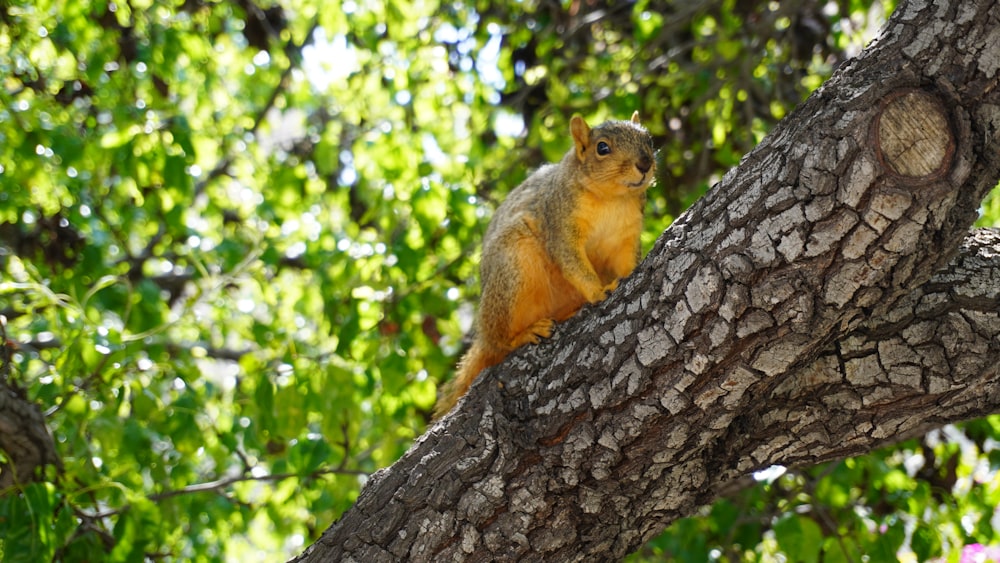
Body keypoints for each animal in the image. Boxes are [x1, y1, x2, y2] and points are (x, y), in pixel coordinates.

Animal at [432, 111, 656, 418]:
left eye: (649, 139)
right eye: (602, 148)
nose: (645, 163)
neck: (612, 198)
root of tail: (483, 334)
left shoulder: (626, 236)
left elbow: (627, 264)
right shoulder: (559, 221)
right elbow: (571, 260)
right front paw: (599, 291)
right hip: (514, 266)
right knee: (498, 343)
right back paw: (523, 334)